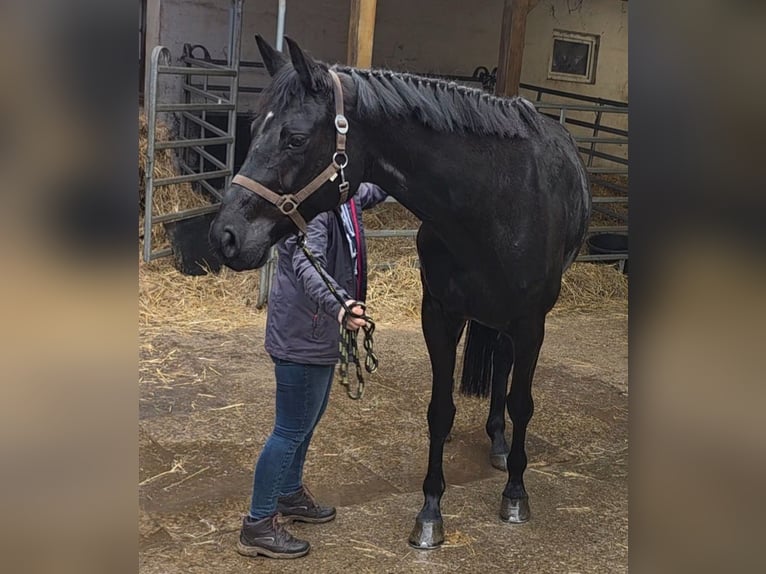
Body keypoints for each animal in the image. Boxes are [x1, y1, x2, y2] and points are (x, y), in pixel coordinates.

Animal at [209, 36, 591, 549]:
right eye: (253, 127)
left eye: (295, 138)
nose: (225, 235)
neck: (496, 201)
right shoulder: (440, 314)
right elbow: (440, 411)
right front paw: (430, 512)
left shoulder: (532, 322)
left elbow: (522, 403)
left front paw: (515, 494)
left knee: (505, 370)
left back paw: (500, 446)